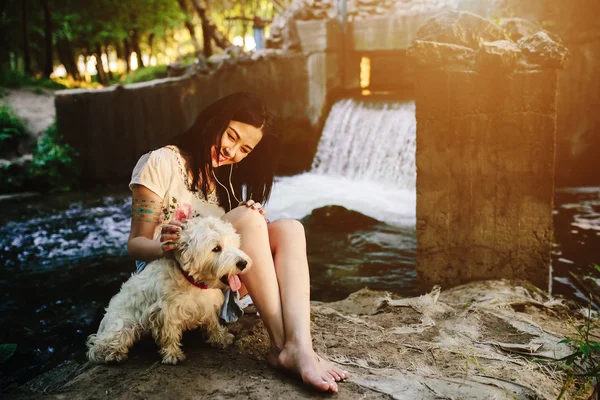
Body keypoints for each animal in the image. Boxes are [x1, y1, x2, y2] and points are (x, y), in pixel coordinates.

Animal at [86, 217, 251, 364]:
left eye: (233, 243)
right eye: (216, 248)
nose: (243, 263)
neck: (192, 281)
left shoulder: (207, 306)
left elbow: (212, 323)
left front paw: (220, 338)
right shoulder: (166, 312)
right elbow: (169, 333)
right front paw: (172, 354)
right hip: (123, 324)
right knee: (100, 345)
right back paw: (112, 354)